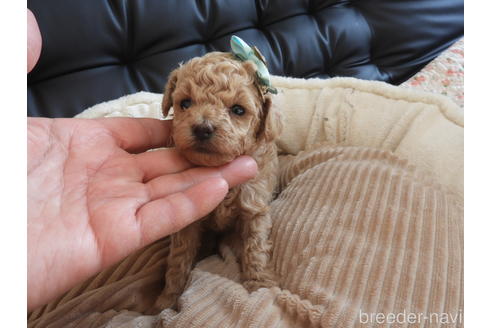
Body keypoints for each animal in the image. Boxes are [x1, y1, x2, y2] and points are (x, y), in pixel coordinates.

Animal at [154, 51, 284, 310]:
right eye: (185, 103)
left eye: (238, 110)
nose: (202, 128)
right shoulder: (188, 223)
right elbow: (179, 257)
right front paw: (168, 298)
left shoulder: (255, 207)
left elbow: (255, 247)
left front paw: (259, 284)